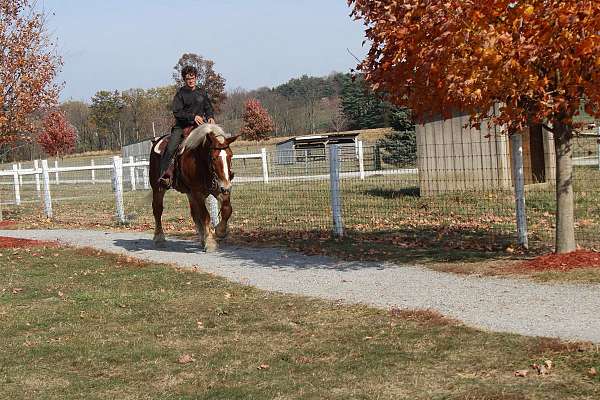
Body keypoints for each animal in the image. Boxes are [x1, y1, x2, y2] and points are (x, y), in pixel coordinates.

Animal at [148, 123, 239, 252]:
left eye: (230, 156)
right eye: (213, 158)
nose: (226, 186)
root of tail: (156, 141)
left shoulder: (218, 189)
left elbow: (227, 209)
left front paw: (220, 231)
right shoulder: (198, 193)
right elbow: (205, 216)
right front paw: (210, 242)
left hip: (189, 193)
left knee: (194, 214)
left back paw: (202, 239)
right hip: (158, 188)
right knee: (157, 209)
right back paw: (159, 238)